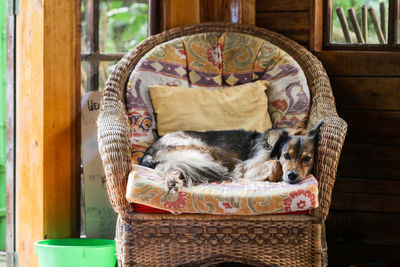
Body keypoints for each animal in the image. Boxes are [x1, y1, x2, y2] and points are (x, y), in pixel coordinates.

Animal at [139, 122, 324, 187]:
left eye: (307, 159)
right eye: (286, 155)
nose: (292, 176)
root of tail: (150, 150)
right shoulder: (246, 169)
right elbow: (274, 164)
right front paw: (276, 175)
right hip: (203, 151)